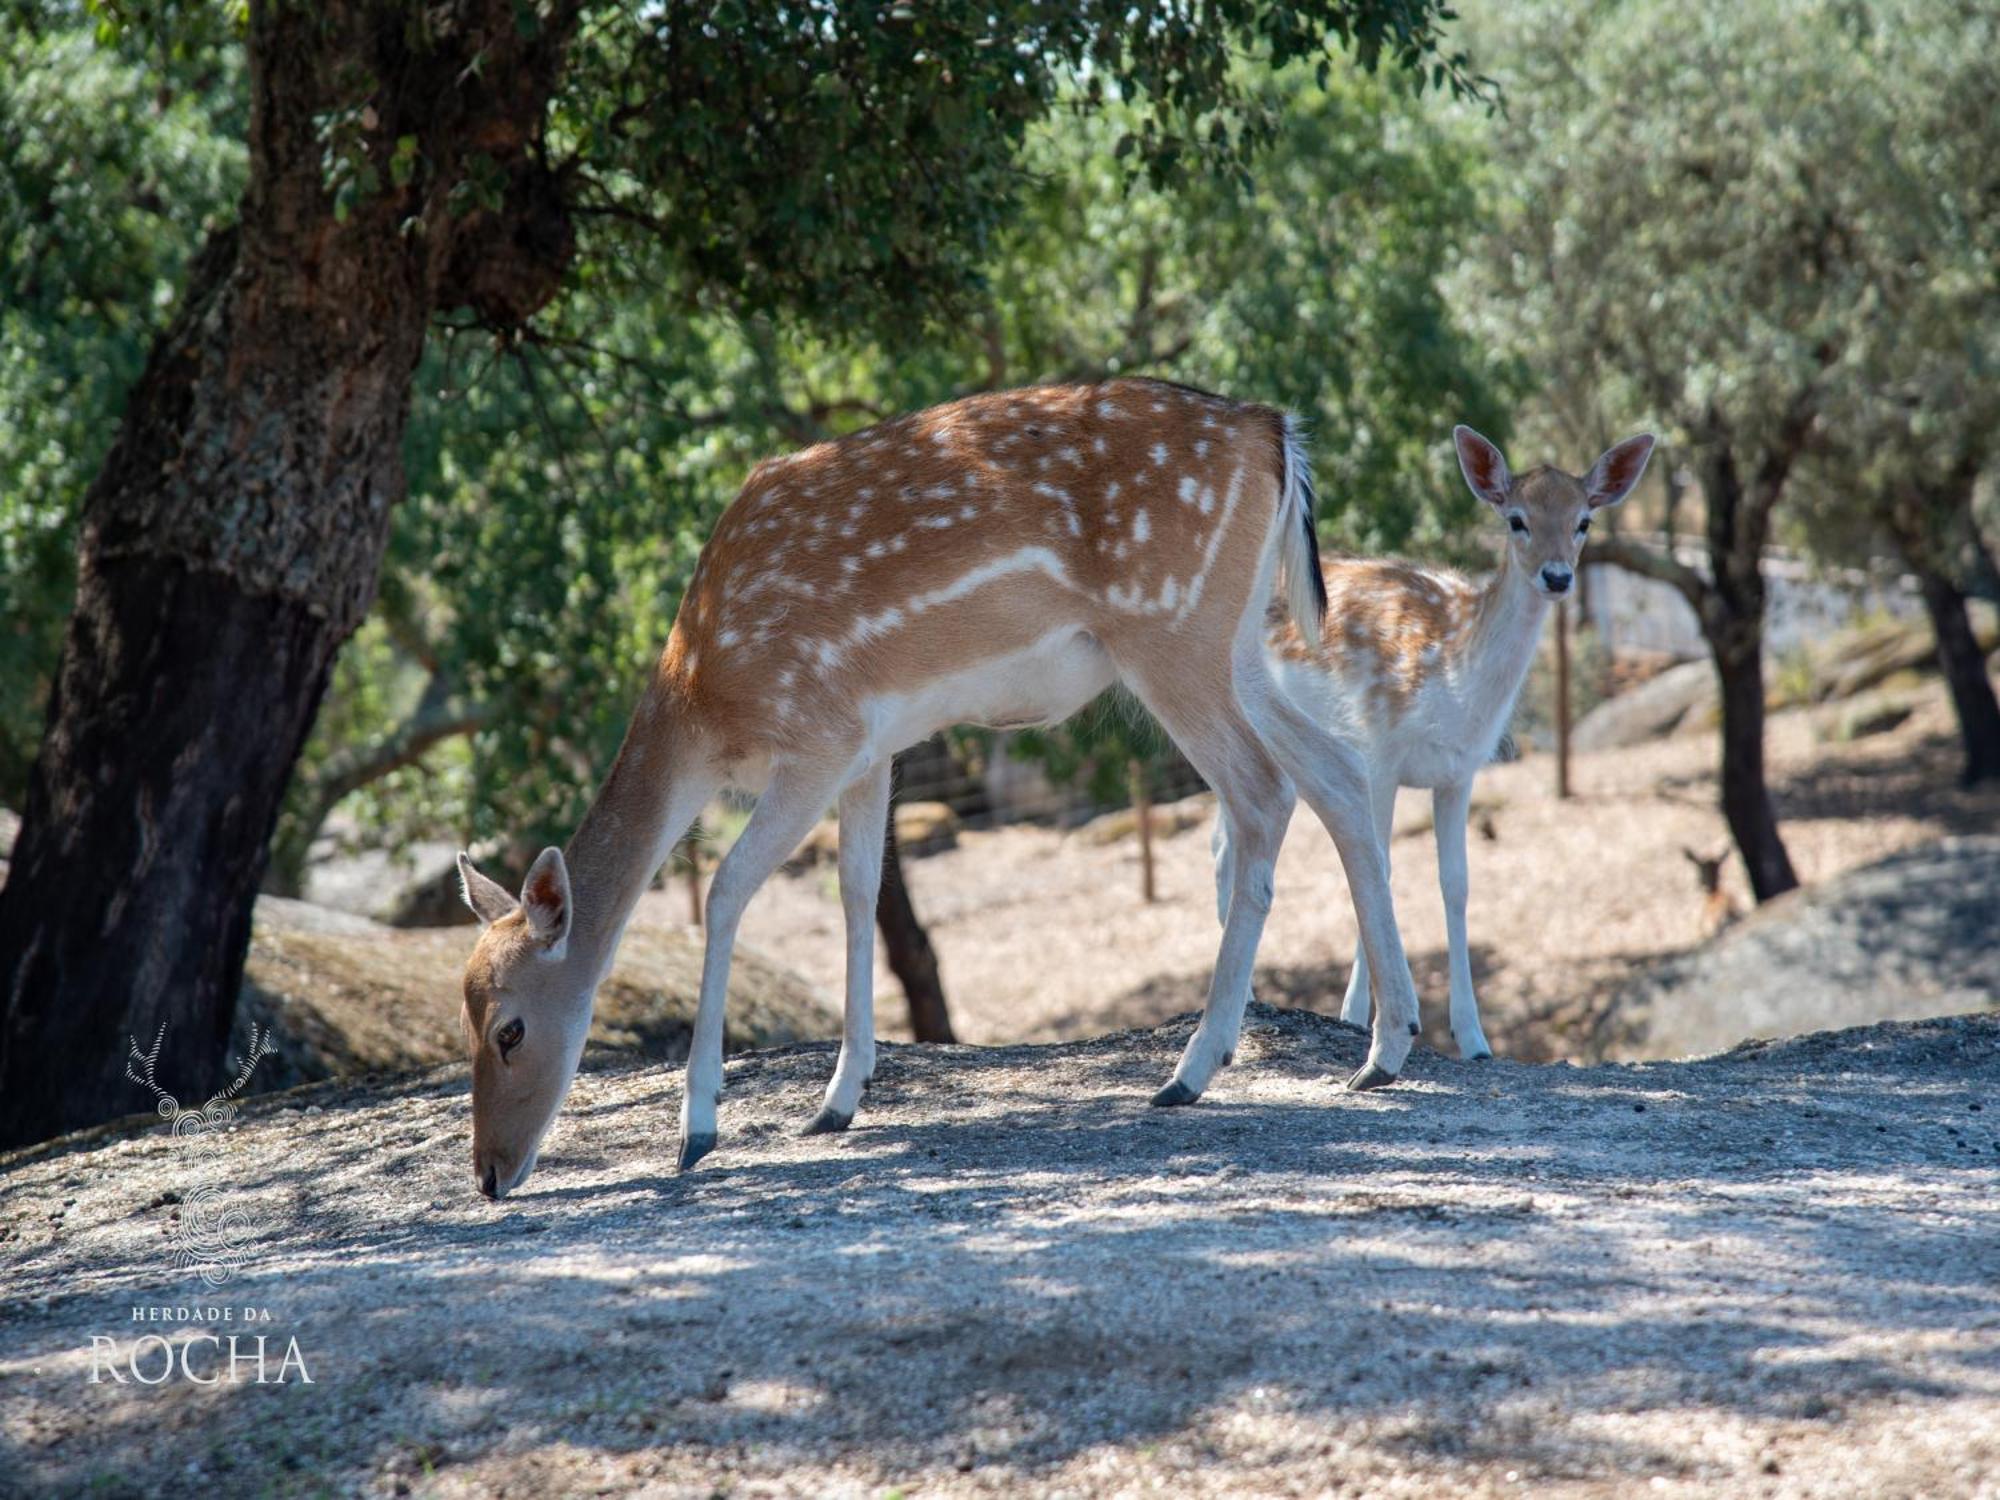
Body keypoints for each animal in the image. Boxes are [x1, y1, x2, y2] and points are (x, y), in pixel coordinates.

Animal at [458, 382, 1424, 1208]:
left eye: (509, 1028)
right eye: (463, 1015)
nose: (490, 1175)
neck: (705, 695)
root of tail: (1276, 431)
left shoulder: (818, 734)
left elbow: (728, 892)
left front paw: (698, 1131)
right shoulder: (869, 751)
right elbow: (858, 893)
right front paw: (838, 1100)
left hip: (1172, 629)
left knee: (1263, 793)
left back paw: (1191, 1069)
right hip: (1241, 643)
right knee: (1339, 773)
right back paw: (1384, 1049)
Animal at [1216, 418, 1656, 1064]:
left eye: (1584, 521)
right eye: (1516, 519)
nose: (1557, 576)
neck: (1452, 684)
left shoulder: (1460, 772)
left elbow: (1457, 884)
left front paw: (1474, 1038)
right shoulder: (1377, 750)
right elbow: (1380, 864)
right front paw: (1357, 1016)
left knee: (1223, 843)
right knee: (1227, 846)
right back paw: (1244, 998)